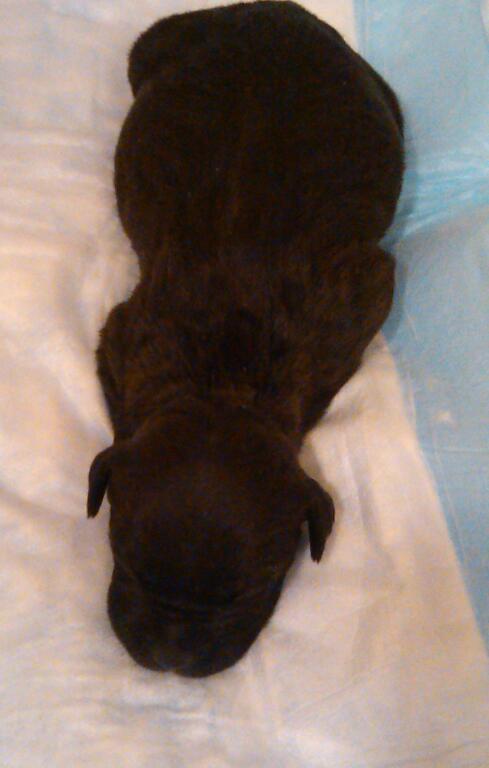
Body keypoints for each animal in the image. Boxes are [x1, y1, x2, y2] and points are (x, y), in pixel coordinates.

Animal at [87, 0, 404, 677]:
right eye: (124, 558)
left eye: (249, 590)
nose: (171, 659)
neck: (224, 384)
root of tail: (273, 9)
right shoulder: (123, 338)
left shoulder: (363, 301)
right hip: (149, 49)